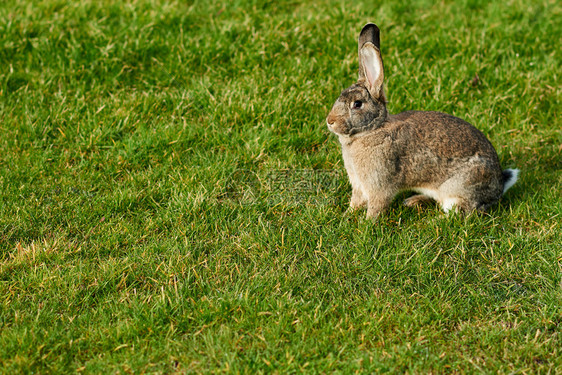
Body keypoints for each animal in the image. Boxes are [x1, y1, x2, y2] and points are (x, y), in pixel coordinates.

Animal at [326, 22, 520, 220]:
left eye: (357, 104)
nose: (330, 121)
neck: (373, 129)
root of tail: (499, 186)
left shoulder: (379, 185)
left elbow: (376, 205)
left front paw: (366, 222)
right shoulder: (358, 184)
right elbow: (356, 200)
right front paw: (347, 214)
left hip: (461, 188)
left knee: (465, 211)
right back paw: (413, 201)